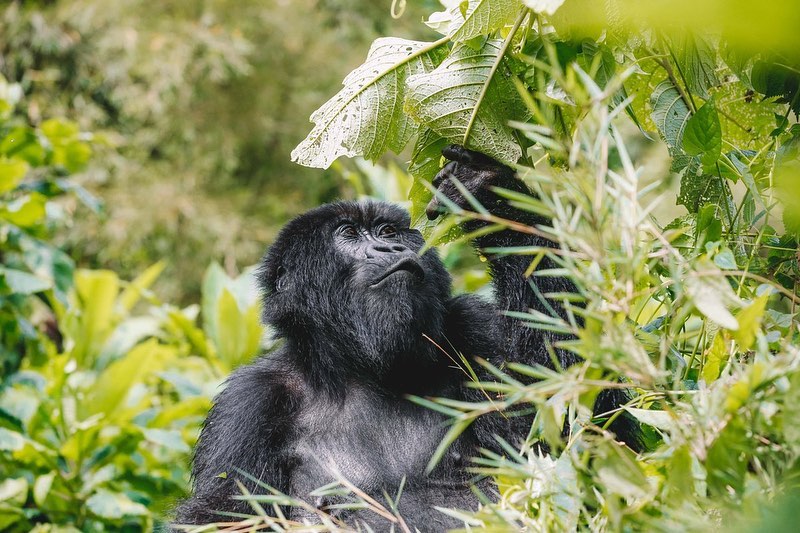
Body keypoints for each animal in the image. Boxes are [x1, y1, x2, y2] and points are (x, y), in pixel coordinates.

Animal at [175, 144, 636, 528]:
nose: (389, 250)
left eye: (388, 232)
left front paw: (485, 191)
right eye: (348, 234)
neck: (361, 370)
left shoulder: (475, 328)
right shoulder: (247, 407)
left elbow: (579, 420)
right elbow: (221, 514)